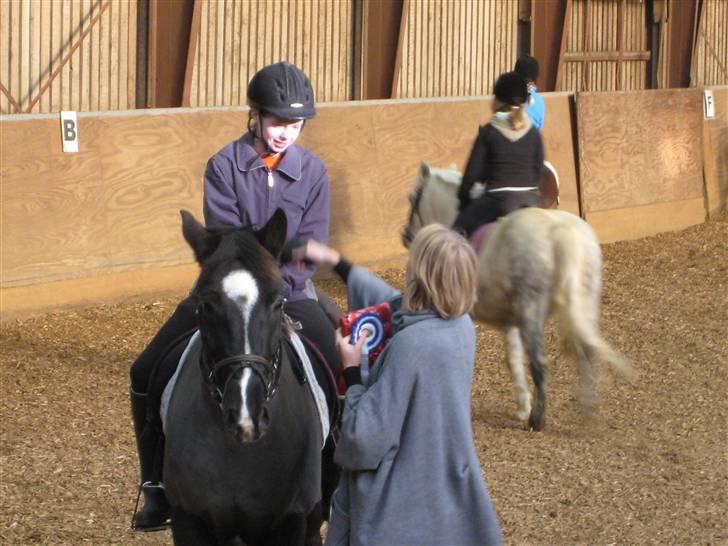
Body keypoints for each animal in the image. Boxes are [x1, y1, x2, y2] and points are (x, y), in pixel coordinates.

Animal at [401, 162, 633, 431]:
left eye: (412, 198)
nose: (406, 235)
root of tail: (562, 233)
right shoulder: (511, 321)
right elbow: (513, 359)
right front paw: (523, 406)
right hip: (583, 303)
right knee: (586, 352)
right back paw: (586, 411)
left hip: (532, 309)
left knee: (540, 363)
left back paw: (538, 421)